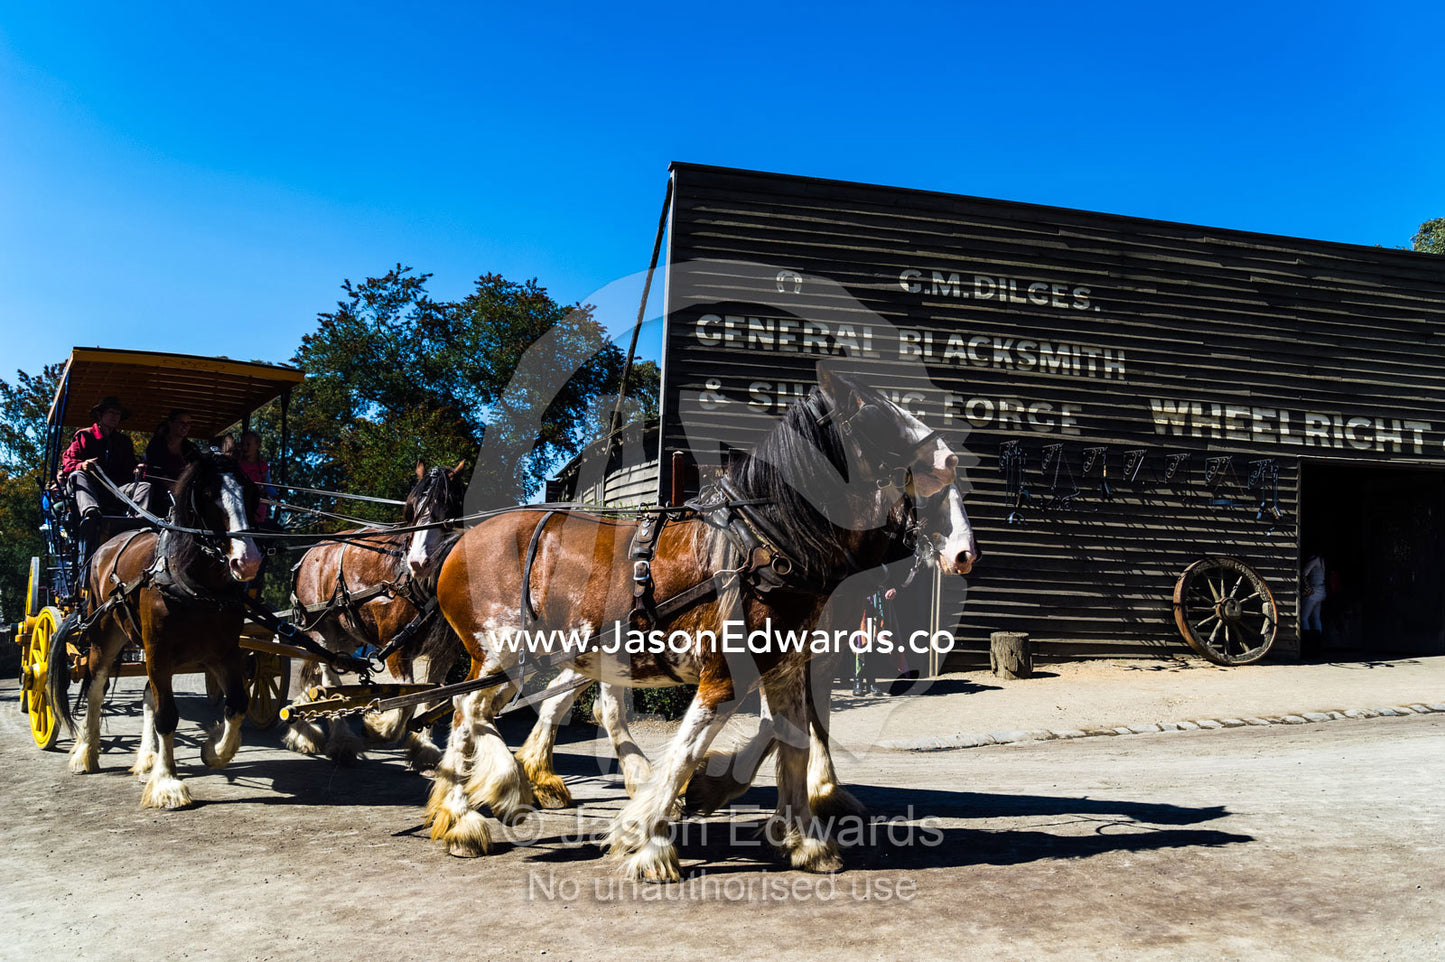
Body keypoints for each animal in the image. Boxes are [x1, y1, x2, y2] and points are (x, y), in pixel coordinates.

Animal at [48, 451, 263, 809]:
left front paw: (213, 750)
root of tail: (107, 545)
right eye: (208, 495)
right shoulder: (159, 651)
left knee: (148, 694)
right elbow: (167, 716)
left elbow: (237, 704)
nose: (248, 561)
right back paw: (86, 753)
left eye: (249, 492)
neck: (192, 582)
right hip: (104, 635)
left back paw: (148, 757)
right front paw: (167, 783)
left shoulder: (224, 652)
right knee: (96, 687)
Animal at [425, 367, 977, 879]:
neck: (766, 546)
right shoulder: (726, 677)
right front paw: (647, 838)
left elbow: (794, 742)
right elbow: (688, 753)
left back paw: (473, 805)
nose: (964, 552)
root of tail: (461, 539)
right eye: (877, 416)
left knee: (482, 710)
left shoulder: (785, 668)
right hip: (498, 650)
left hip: (538, 655)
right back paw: (487, 799)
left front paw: (804, 841)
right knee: (467, 710)